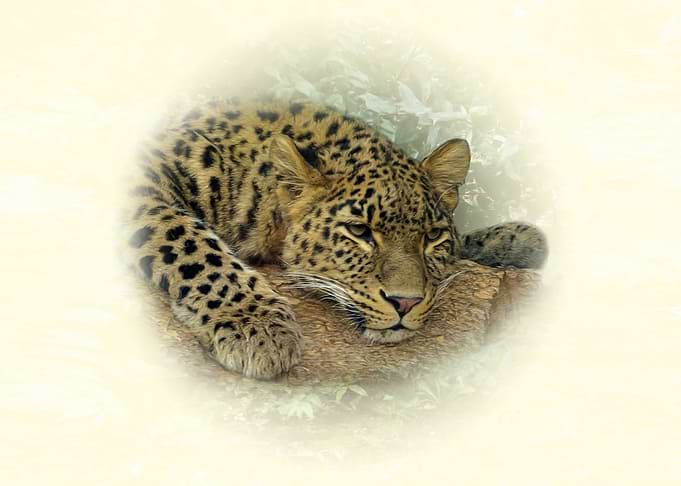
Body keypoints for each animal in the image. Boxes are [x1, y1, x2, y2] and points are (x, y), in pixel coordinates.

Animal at [122, 98, 547, 380]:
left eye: (432, 236)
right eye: (359, 232)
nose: (406, 302)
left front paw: (518, 240)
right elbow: (187, 240)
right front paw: (257, 326)